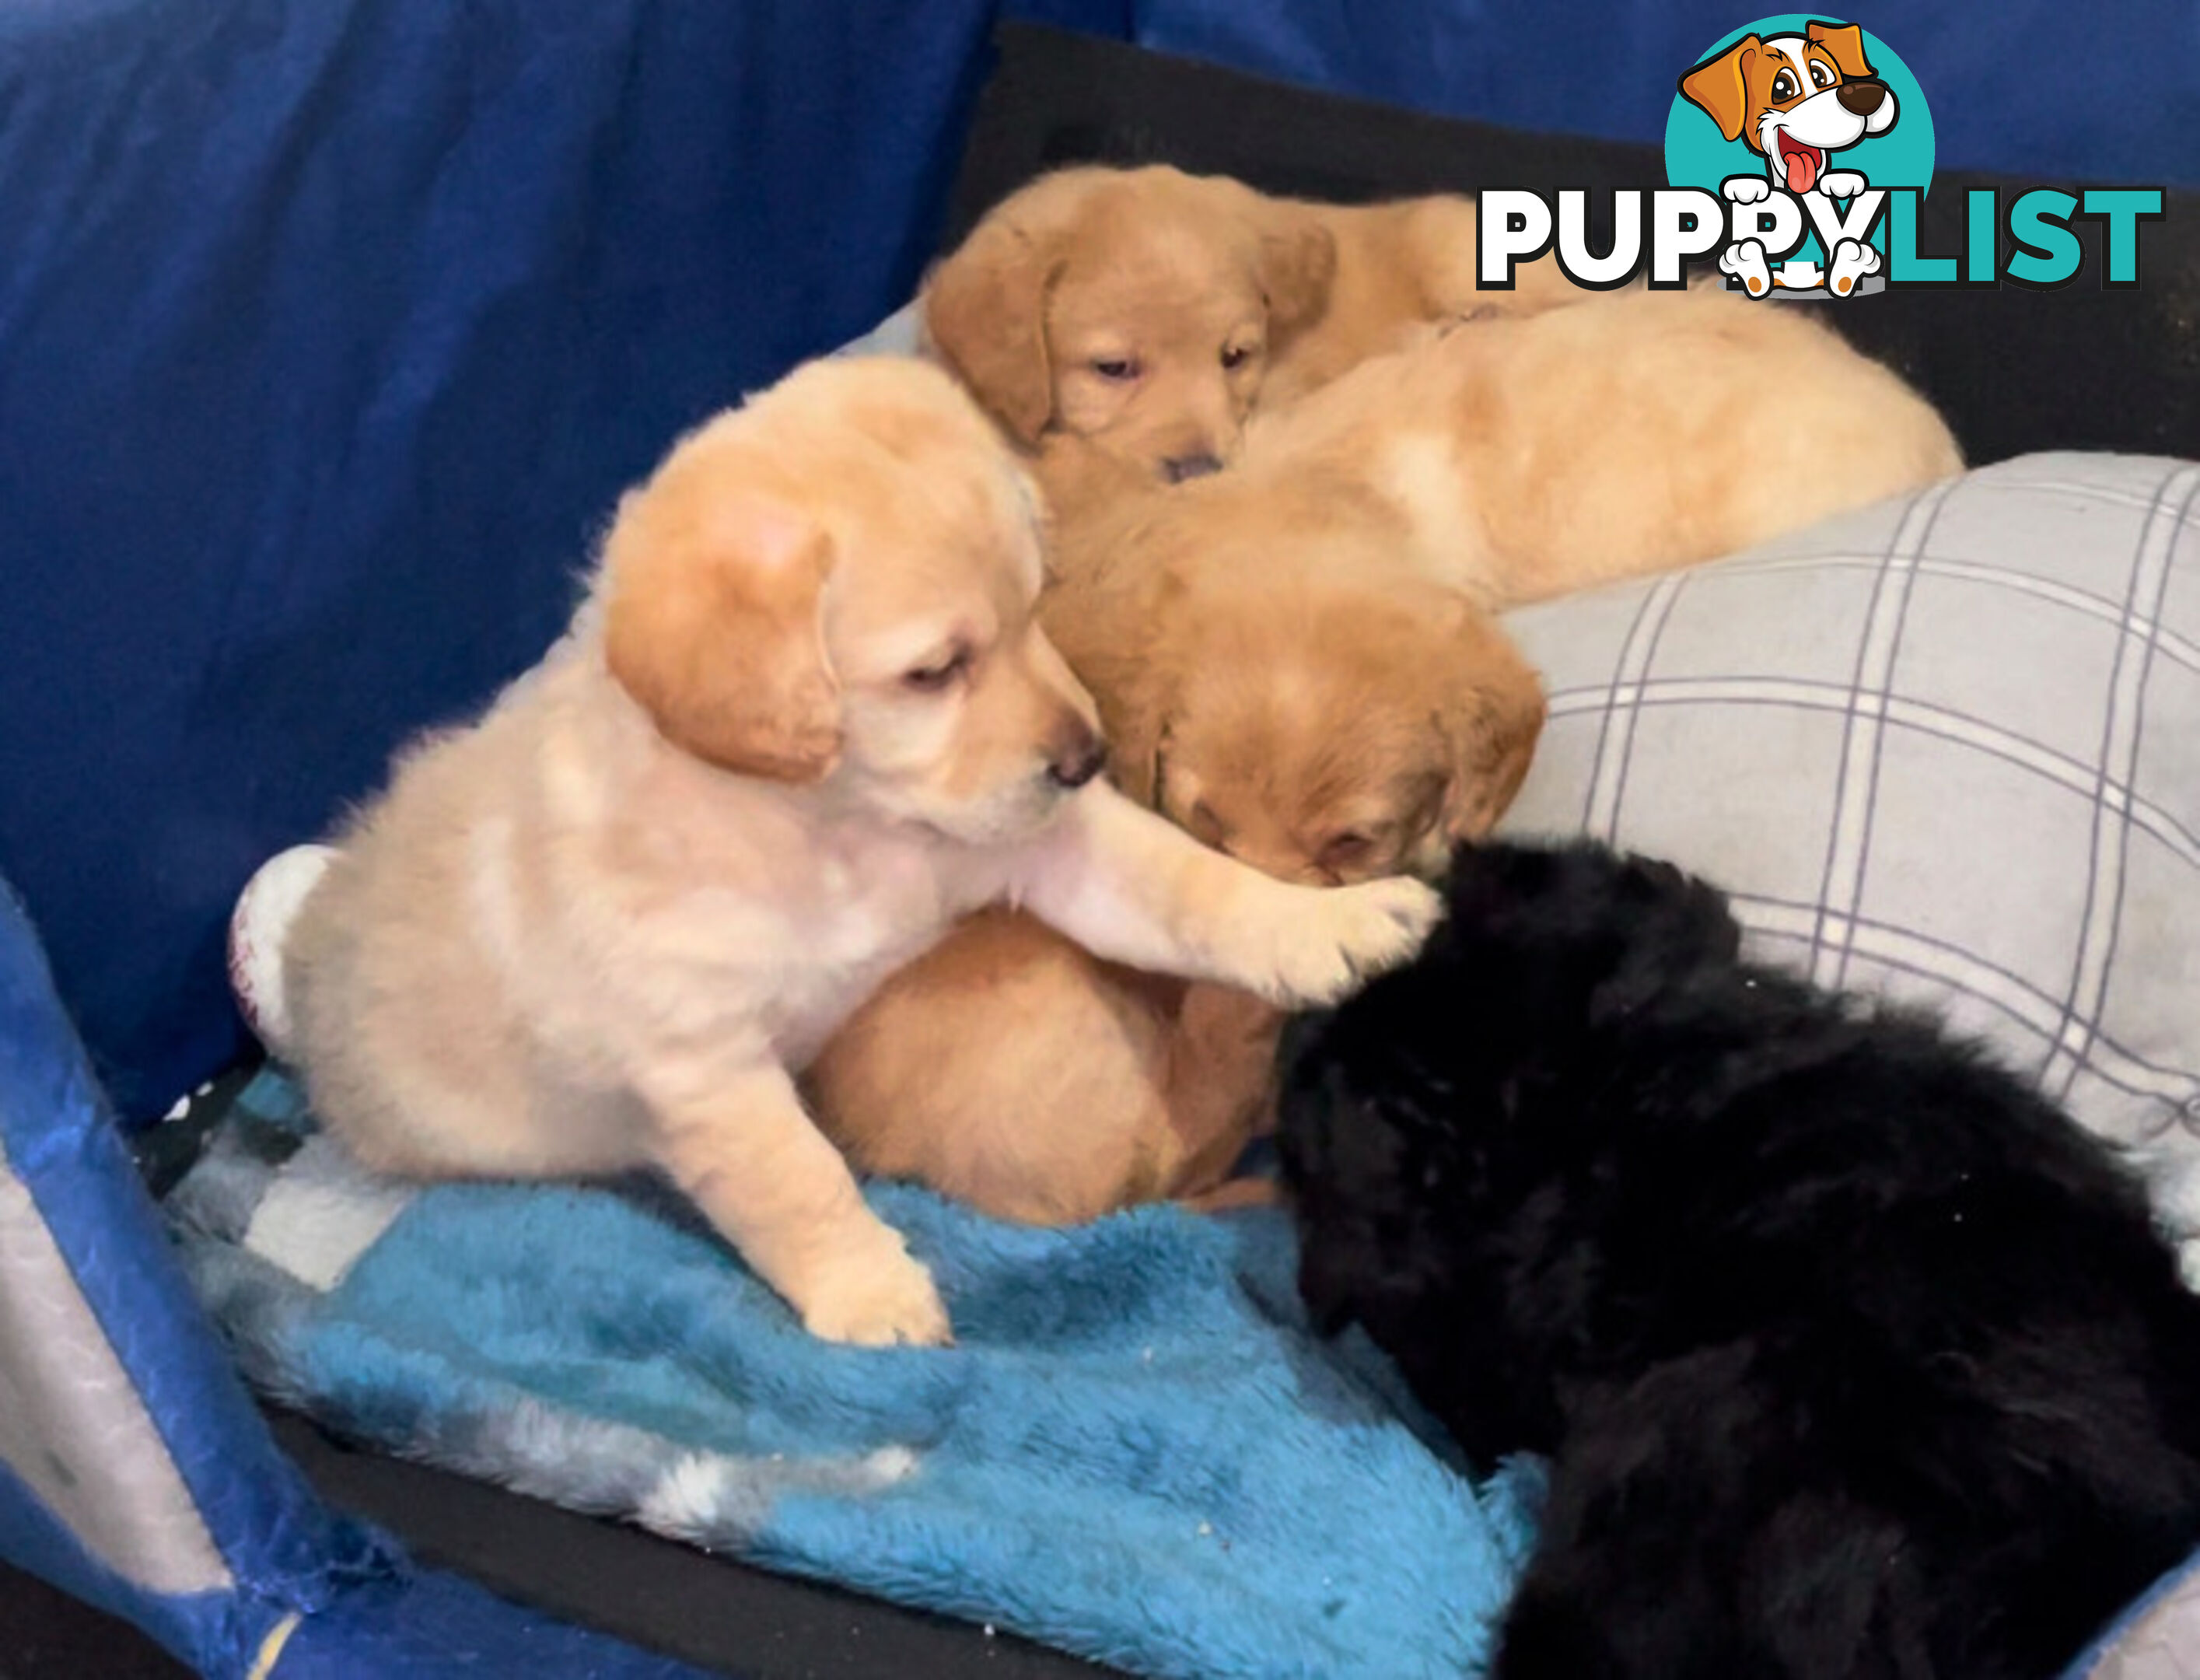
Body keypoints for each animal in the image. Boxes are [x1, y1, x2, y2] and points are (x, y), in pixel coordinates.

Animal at [279, 360, 1443, 1346]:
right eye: (934, 672)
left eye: (1036, 606)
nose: (1088, 757)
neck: (834, 829)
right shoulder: (705, 1065)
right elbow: (801, 1185)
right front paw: (868, 1290)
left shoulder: (1044, 850)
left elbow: (1190, 888)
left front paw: (1327, 924)